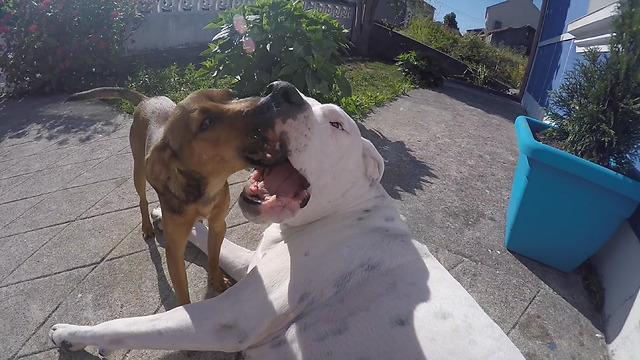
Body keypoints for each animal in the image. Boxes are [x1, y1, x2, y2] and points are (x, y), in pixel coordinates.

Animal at [67, 88, 276, 306]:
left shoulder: (218, 225)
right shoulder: (174, 249)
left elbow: (214, 257)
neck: (203, 190)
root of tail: (148, 99)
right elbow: (182, 292)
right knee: (142, 200)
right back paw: (147, 226)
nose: (271, 98)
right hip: (139, 171)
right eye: (206, 123)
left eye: (231, 94)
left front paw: (218, 280)